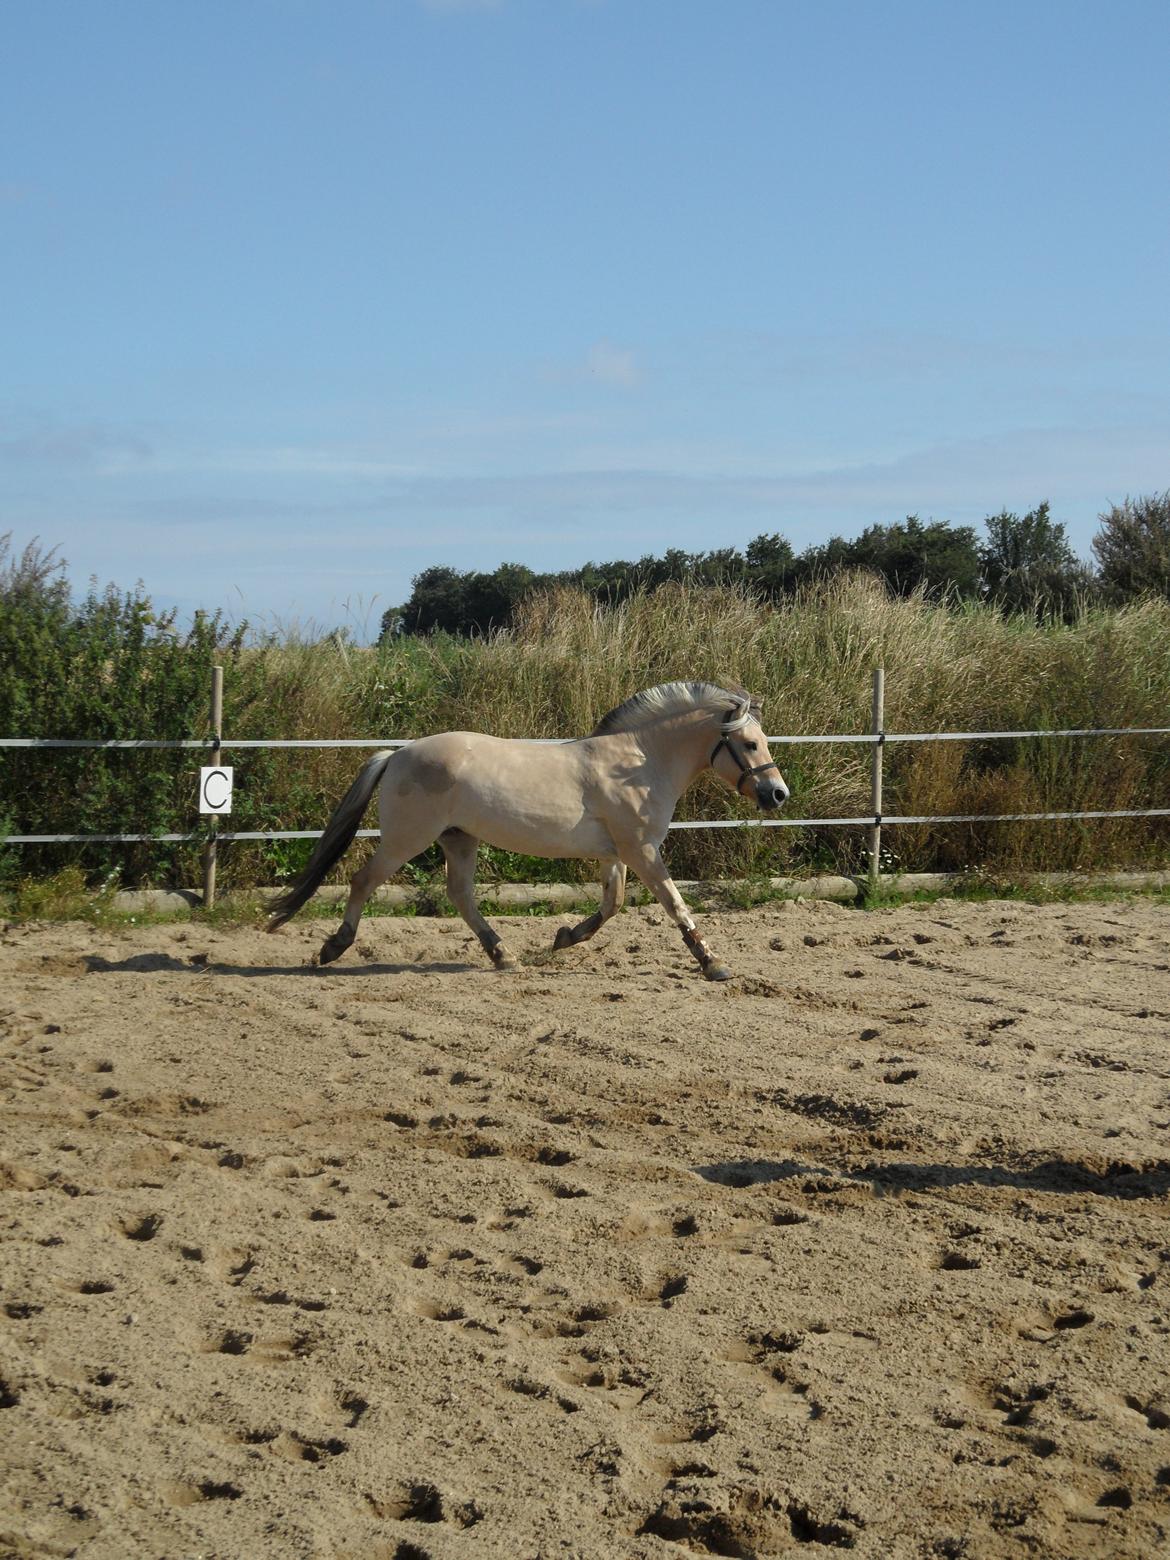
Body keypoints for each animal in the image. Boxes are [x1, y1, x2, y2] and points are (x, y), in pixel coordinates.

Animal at [269, 680, 792, 979]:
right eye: (749, 743)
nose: (777, 794)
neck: (639, 763)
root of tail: (396, 754)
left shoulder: (616, 852)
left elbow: (612, 905)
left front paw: (563, 939)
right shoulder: (641, 849)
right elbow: (674, 903)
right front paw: (712, 964)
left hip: (459, 838)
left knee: (460, 895)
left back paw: (504, 956)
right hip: (407, 839)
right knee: (364, 881)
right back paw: (334, 947)